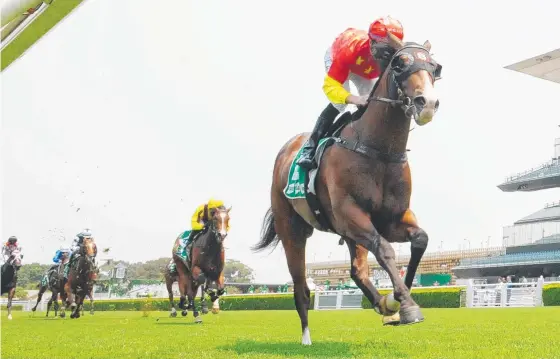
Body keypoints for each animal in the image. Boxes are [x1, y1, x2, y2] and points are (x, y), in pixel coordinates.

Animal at [253, 33, 442, 346]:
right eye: (399, 63)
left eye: (435, 67)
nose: (426, 103)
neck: (377, 149)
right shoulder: (349, 214)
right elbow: (386, 250)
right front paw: (406, 305)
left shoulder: (390, 219)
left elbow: (420, 240)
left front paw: (395, 301)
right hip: (292, 229)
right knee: (301, 288)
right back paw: (306, 339)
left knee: (357, 270)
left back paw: (382, 304)